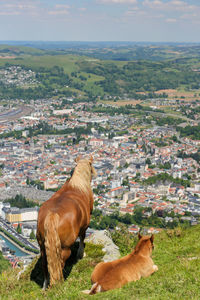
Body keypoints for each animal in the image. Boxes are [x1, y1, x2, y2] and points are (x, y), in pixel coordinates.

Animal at [36, 156, 96, 288]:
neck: (78, 185)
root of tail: (52, 215)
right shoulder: (85, 225)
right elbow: (82, 238)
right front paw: (81, 254)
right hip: (64, 249)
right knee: (60, 264)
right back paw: (60, 283)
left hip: (42, 246)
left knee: (45, 265)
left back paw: (45, 286)